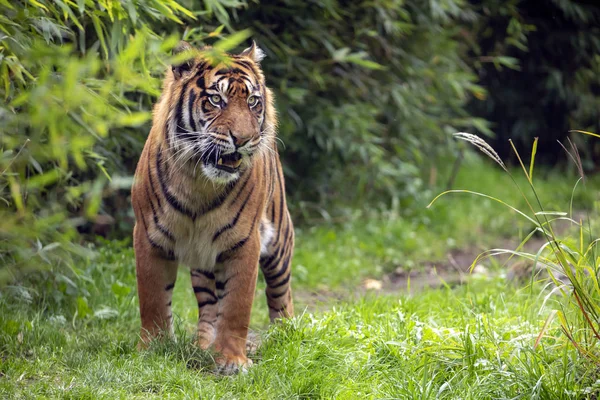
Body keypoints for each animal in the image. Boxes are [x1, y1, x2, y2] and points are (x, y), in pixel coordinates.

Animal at [130, 39, 294, 374]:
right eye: (216, 99)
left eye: (253, 101)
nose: (243, 139)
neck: (199, 182)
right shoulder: (148, 236)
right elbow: (153, 300)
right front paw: (151, 350)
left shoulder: (245, 242)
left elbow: (236, 307)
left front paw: (232, 360)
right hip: (203, 261)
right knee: (208, 306)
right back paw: (203, 343)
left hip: (279, 244)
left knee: (280, 294)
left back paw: (287, 336)